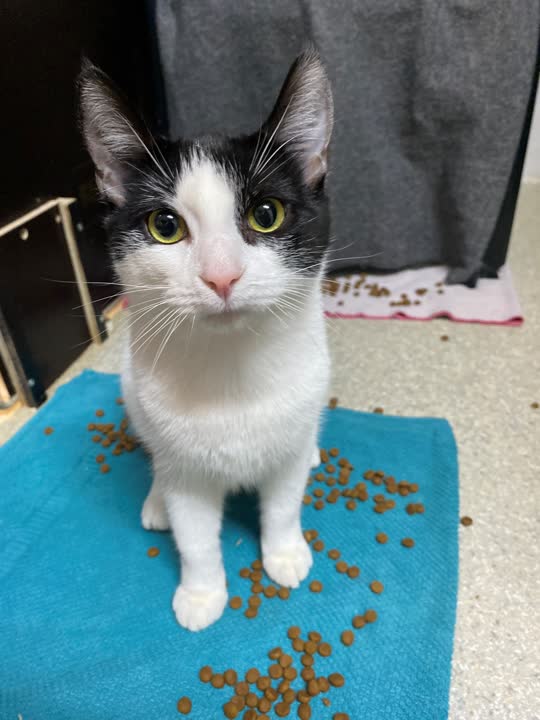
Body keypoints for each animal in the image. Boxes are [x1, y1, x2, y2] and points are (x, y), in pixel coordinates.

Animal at [79, 48, 333, 631]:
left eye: (267, 215)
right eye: (165, 226)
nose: (222, 277)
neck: (232, 365)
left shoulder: (289, 435)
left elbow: (283, 502)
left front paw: (285, 552)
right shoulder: (184, 467)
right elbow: (194, 533)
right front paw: (201, 594)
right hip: (131, 385)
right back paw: (155, 500)